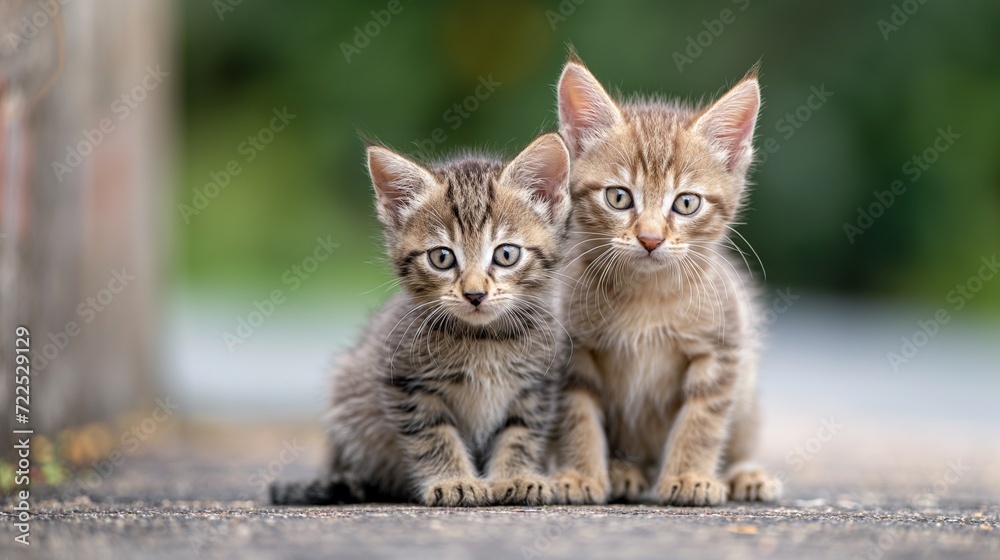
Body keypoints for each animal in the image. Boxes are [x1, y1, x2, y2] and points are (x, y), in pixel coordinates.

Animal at [272, 133, 572, 506]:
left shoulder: (537, 387)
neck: (484, 339)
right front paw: (454, 480)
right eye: (442, 257)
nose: (475, 294)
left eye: (506, 254)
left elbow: (521, 433)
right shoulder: (405, 384)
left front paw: (516, 477)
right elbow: (434, 437)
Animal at [552, 58, 776, 508]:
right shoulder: (572, 352)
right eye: (619, 197)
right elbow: (577, 415)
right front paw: (580, 475)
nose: (651, 238)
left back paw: (745, 474)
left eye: (686, 203)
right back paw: (624, 471)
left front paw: (690, 476)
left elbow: (701, 420)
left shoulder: (721, 351)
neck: (647, 295)